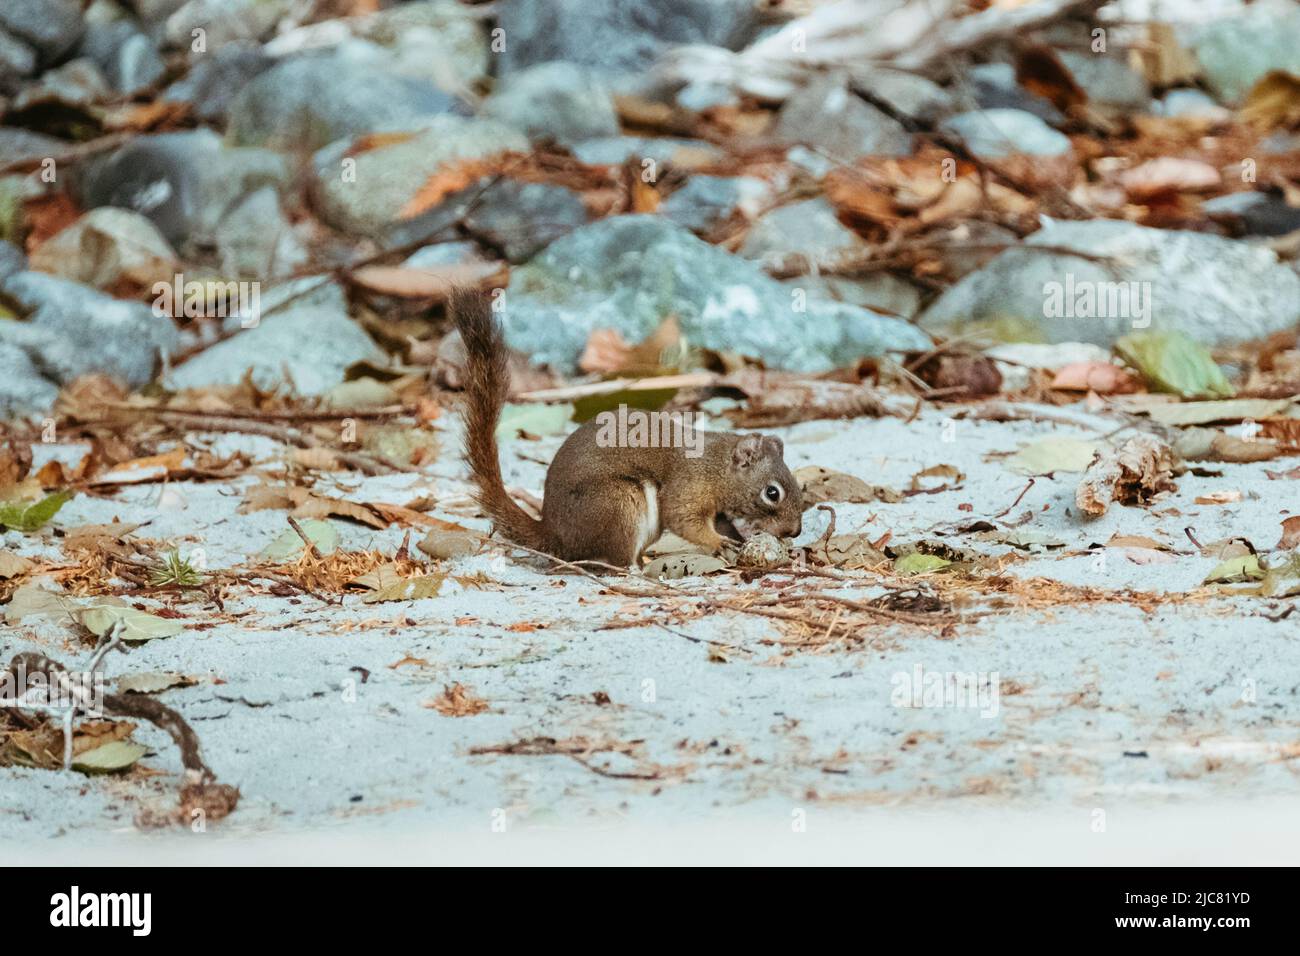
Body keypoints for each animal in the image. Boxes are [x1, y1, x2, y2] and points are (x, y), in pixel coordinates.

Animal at [452, 288, 804, 568]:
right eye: (772, 493)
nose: (794, 531)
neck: (716, 464)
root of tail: (556, 535)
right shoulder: (688, 486)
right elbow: (684, 518)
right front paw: (718, 542)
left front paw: (739, 540)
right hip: (619, 504)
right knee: (614, 560)